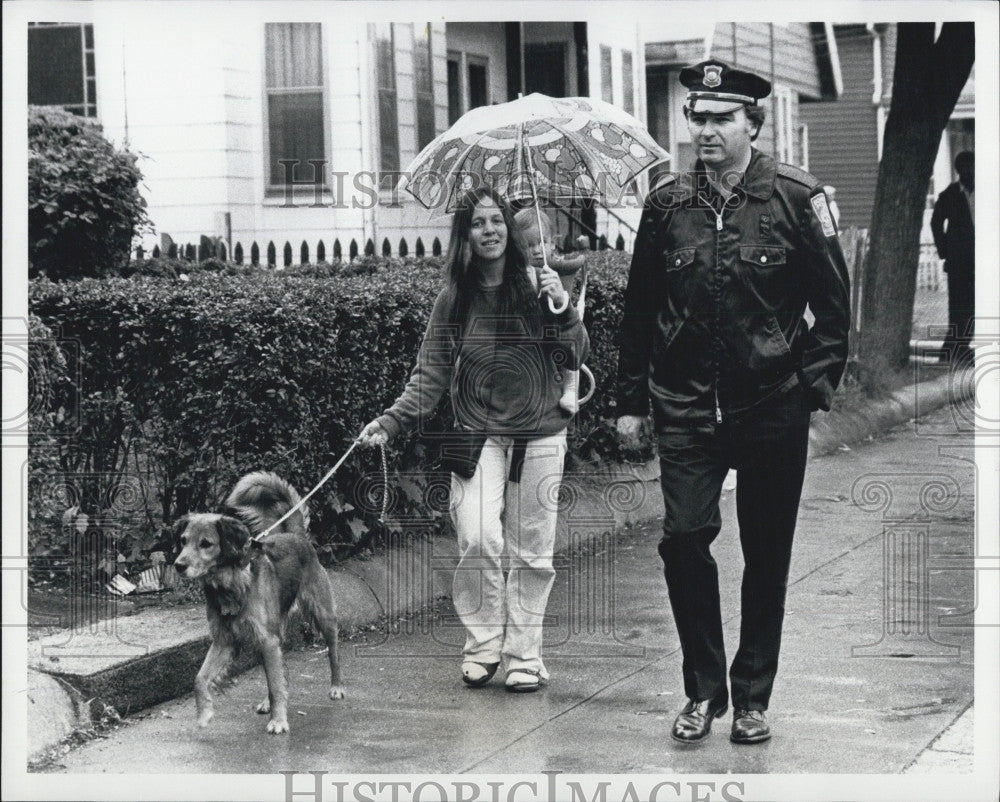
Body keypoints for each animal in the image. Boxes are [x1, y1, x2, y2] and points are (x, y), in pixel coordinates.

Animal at [173, 468, 344, 732]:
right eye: (183, 540)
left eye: (206, 544)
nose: (178, 565)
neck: (230, 585)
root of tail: (295, 536)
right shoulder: (226, 640)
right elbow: (199, 678)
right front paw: (204, 714)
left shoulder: (267, 639)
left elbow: (275, 685)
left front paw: (279, 720)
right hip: (263, 639)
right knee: (278, 672)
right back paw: (266, 702)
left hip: (322, 616)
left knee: (333, 652)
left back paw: (336, 686)